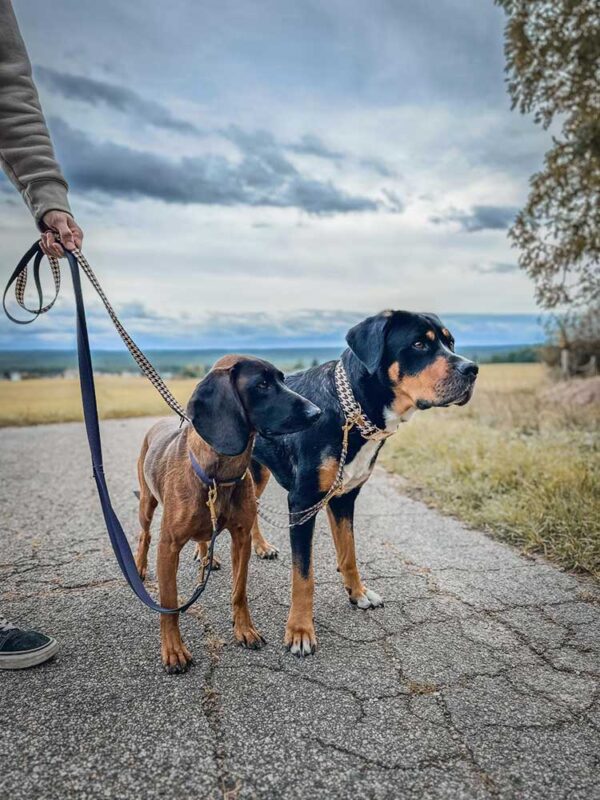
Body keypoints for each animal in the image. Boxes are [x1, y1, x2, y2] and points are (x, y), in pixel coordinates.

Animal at [134, 354, 322, 672]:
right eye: (262, 385)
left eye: (282, 379)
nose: (317, 412)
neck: (217, 477)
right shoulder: (168, 547)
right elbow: (169, 605)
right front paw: (173, 649)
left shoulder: (241, 537)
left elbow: (239, 591)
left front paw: (244, 629)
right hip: (147, 504)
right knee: (144, 536)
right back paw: (139, 565)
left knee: (203, 537)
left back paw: (206, 556)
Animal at [251, 310, 480, 656]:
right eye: (419, 344)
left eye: (450, 342)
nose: (472, 369)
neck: (352, 413)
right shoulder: (303, 501)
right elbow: (303, 576)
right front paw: (300, 630)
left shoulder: (343, 497)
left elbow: (349, 553)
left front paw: (357, 593)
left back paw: (261, 547)